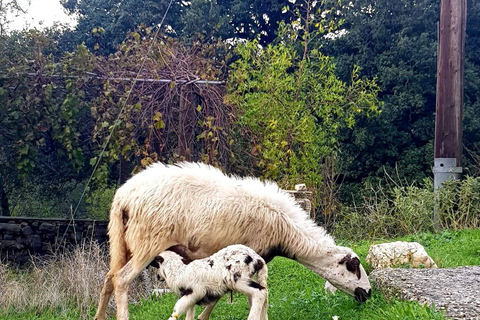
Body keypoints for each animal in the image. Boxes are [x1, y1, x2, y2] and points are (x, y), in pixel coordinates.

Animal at [94, 162, 372, 320]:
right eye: (354, 266)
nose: (368, 294)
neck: (286, 231)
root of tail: (123, 196)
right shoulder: (250, 256)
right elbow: (245, 297)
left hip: (122, 241)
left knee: (109, 278)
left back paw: (99, 317)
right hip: (147, 243)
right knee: (122, 280)